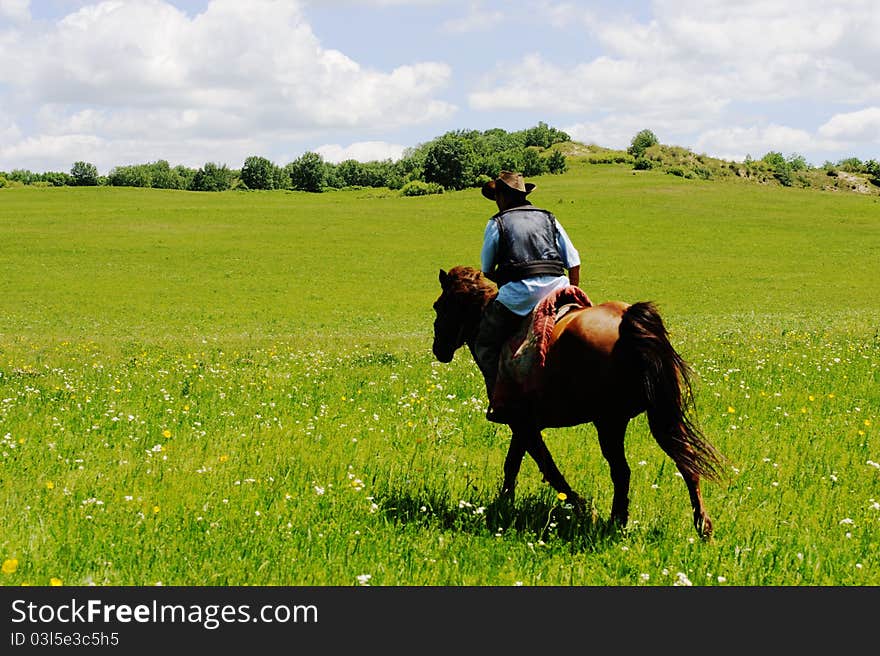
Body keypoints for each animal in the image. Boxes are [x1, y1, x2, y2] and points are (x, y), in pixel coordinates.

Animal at [430, 266, 724, 540]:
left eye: (438, 306)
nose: (439, 349)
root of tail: (626, 321)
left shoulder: (522, 422)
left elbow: (545, 465)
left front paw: (582, 507)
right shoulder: (523, 424)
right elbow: (514, 463)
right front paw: (504, 503)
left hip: (608, 422)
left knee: (622, 471)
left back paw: (615, 522)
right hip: (657, 415)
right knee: (685, 462)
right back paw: (702, 526)